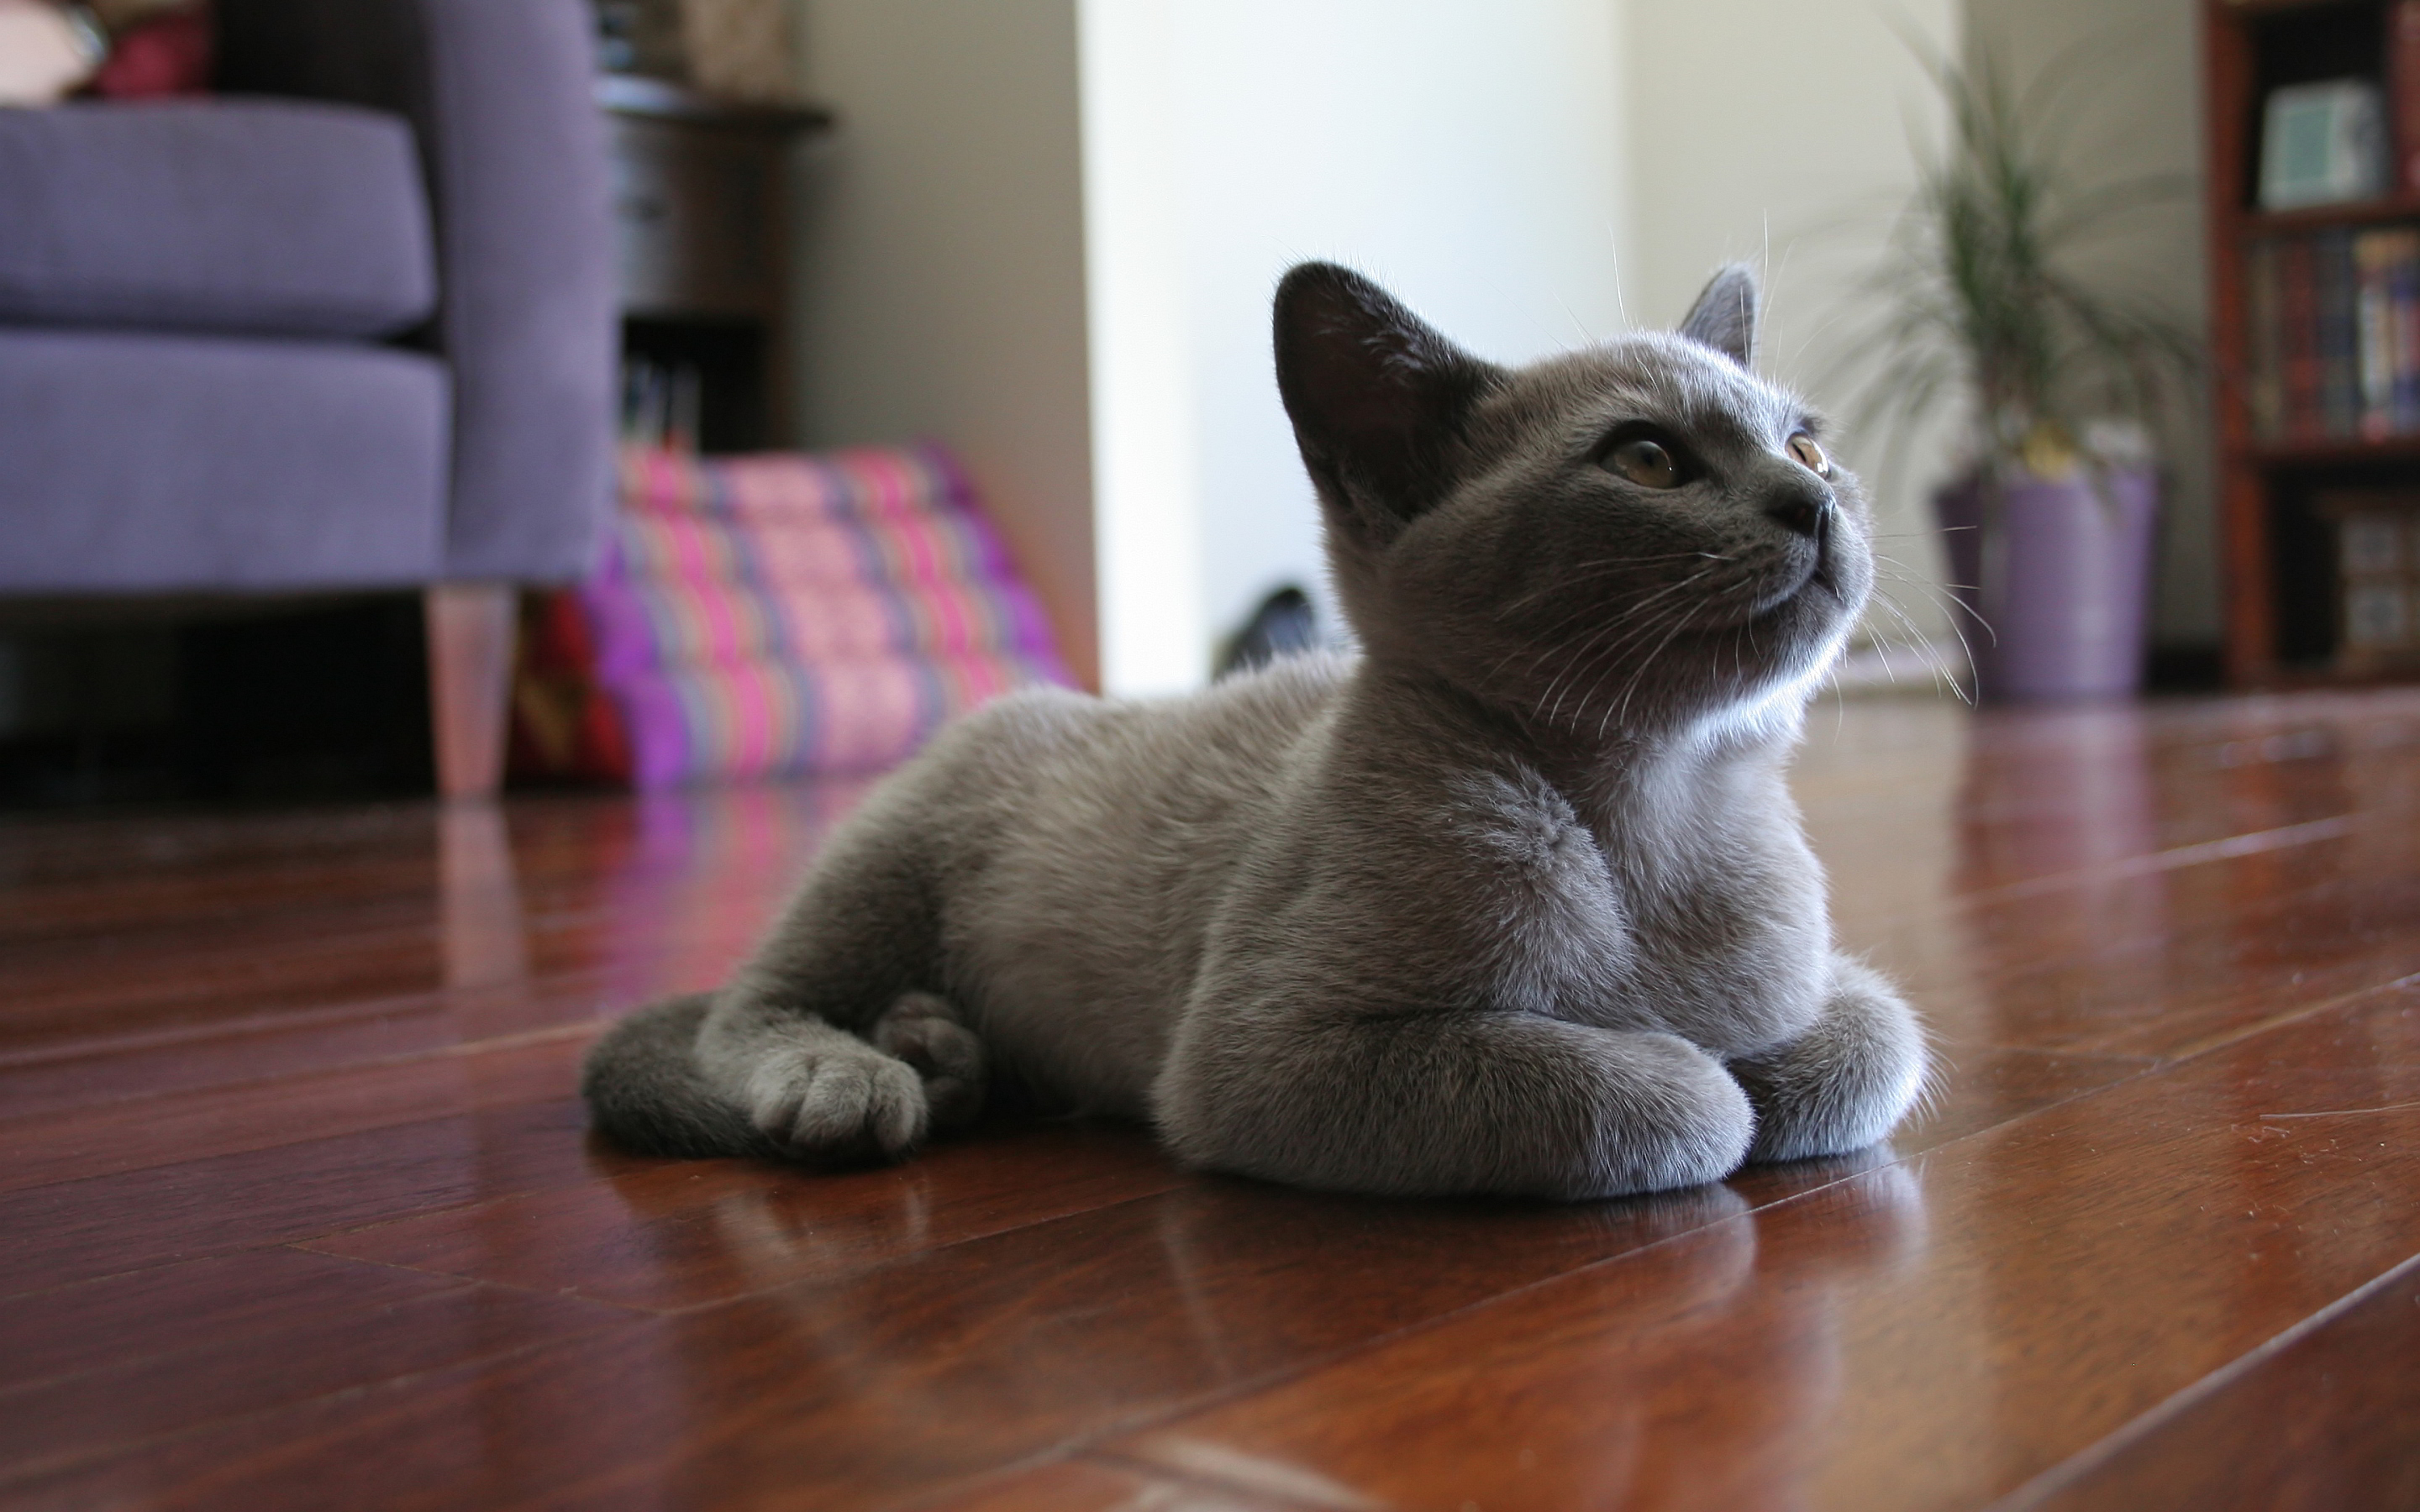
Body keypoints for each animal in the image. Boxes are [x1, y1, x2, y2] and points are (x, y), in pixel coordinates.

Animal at [585, 262, 1926, 1205]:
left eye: (1808, 445)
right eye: (1647, 460)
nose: (1810, 502)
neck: (1659, 804)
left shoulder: (1832, 982)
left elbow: (1875, 1043)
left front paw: (1754, 1062)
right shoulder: (1265, 1056)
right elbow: (1649, 1093)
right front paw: (1699, 1076)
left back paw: (941, 1050)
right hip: (887, 861)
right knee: (748, 1006)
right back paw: (860, 1076)